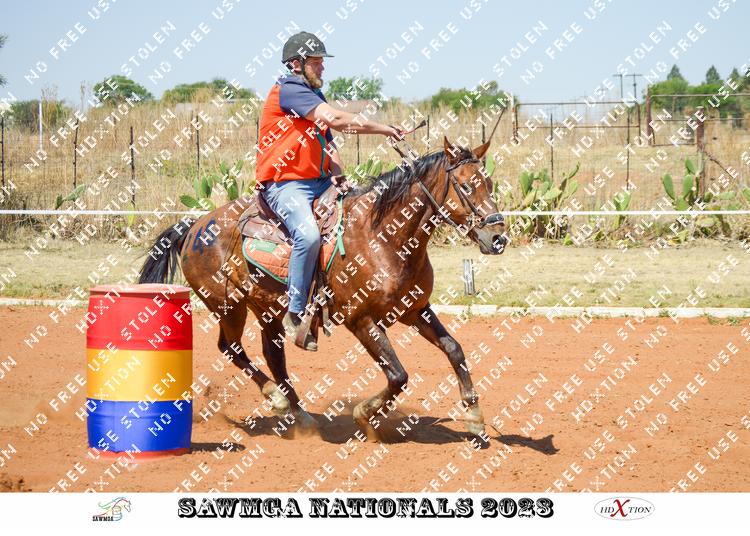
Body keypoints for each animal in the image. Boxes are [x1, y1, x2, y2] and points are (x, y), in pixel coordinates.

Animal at [138, 136, 507, 439]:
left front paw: (475, 416)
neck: (383, 237)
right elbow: (399, 375)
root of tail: (195, 225)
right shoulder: (361, 321)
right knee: (230, 348)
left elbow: (454, 349)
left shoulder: (415, 310)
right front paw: (364, 415)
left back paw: (298, 414)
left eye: (489, 183)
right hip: (228, 305)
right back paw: (277, 400)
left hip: (264, 308)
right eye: (465, 186)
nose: (497, 237)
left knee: (273, 356)